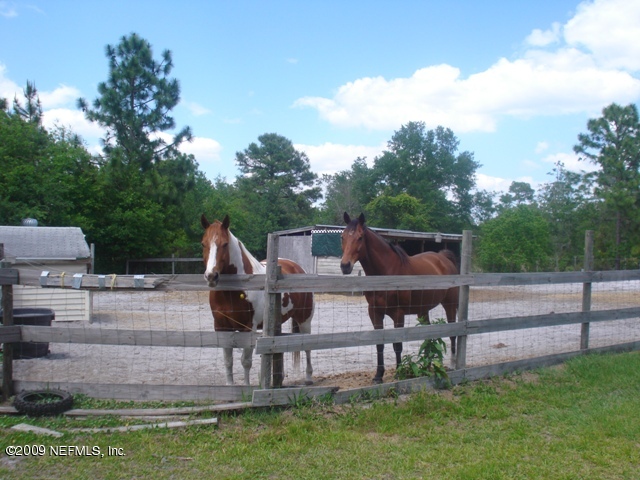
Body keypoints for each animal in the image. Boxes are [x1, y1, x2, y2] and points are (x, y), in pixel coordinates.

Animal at [201, 214, 314, 386]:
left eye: (225, 244)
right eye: (203, 244)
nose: (211, 276)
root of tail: (298, 268)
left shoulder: (249, 327)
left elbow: (246, 361)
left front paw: (246, 386)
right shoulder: (221, 327)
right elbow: (228, 360)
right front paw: (230, 386)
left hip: (304, 320)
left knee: (307, 346)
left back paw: (308, 378)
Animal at [340, 212, 459, 384]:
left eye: (360, 237)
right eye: (342, 236)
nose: (345, 266)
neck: (387, 273)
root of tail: (444, 259)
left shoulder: (398, 314)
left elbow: (397, 344)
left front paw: (398, 372)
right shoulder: (375, 313)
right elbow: (379, 344)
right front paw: (378, 376)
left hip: (450, 304)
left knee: (453, 332)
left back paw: (453, 365)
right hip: (423, 310)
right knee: (428, 335)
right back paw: (427, 366)